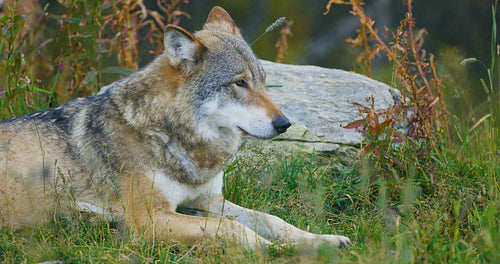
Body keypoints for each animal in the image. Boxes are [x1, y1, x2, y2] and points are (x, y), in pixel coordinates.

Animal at [0, 6, 352, 250]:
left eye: (263, 81)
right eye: (239, 83)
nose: (284, 124)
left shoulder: (208, 201)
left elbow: (272, 219)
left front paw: (321, 240)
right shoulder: (151, 218)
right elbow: (234, 229)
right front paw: (274, 249)